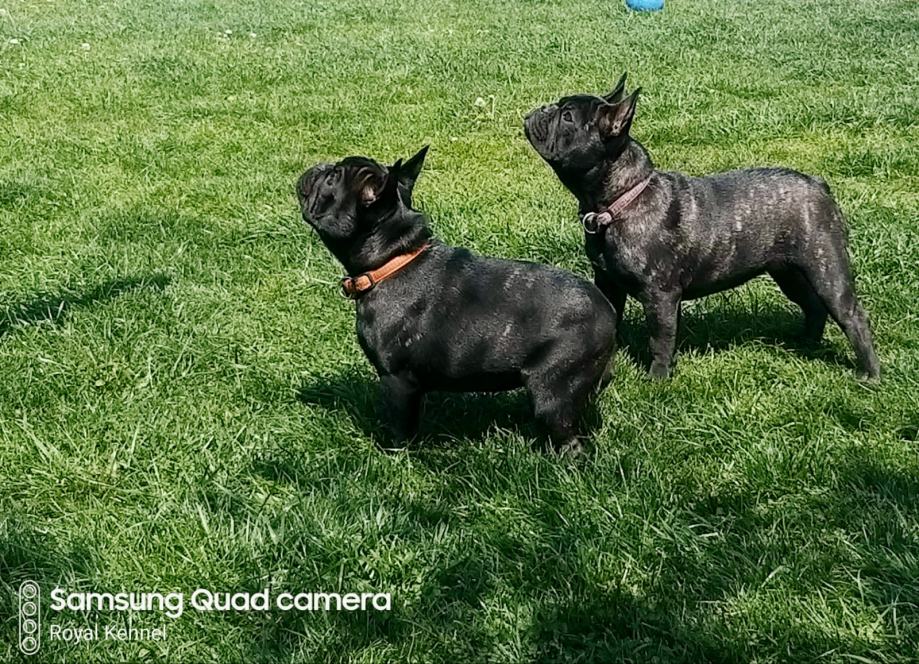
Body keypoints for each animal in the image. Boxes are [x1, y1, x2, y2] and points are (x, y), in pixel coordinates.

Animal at [296, 147, 617, 453]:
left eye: (333, 178)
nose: (320, 166)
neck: (392, 259)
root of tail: (608, 311)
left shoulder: (397, 380)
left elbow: (400, 426)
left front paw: (393, 455)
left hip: (553, 391)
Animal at [524, 74, 880, 380]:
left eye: (567, 117)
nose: (544, 108)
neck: (622, 200)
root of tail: (818, 185)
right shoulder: (608, 282)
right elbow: (612, 318)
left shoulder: (661, 297)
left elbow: (661, 340)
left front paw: (657, 379)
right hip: (789, 273)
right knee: (813, 307)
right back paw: (807, 343)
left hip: (826, 271)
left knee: (853, 317)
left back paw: (869, 375)